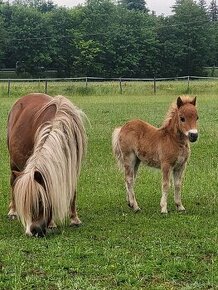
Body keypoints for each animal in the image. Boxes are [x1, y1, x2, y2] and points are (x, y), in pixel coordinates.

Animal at [7, 93, 87, 236]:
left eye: (39, 201)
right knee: (13, 182)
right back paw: (13, 211)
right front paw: (52, 224)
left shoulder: (72, 166)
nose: (33, 231)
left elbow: (73, 191)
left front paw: (74, 219)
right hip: (13, 163)